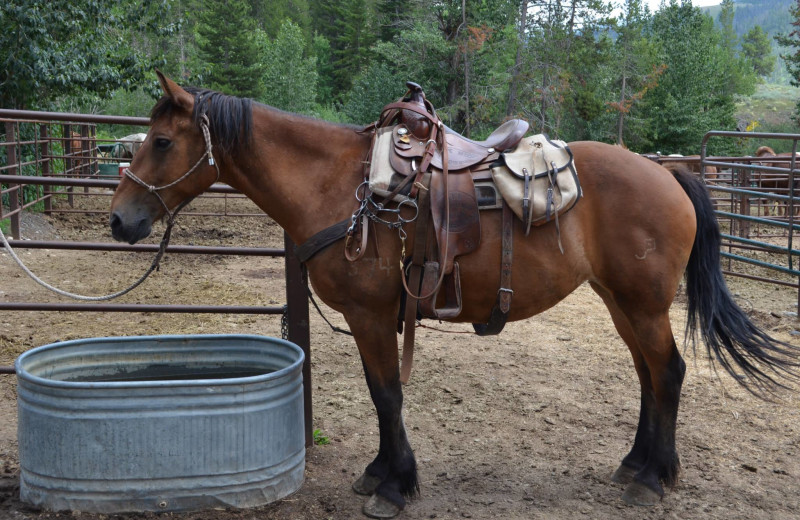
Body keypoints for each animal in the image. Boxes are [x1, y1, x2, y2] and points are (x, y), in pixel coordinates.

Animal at [109, 72, 796, 516]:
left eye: (162, 142)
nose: (120, 221)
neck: (339, 187)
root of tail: (669, 172)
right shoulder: (374, 318)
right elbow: (380, 394)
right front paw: (381, 473)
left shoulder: (369, 315)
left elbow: (387, 394)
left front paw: (396, 486)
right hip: (620, 301)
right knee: (649, 374)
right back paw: (636, 464)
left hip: (645, 303)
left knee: (669, 371)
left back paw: (654, 479)